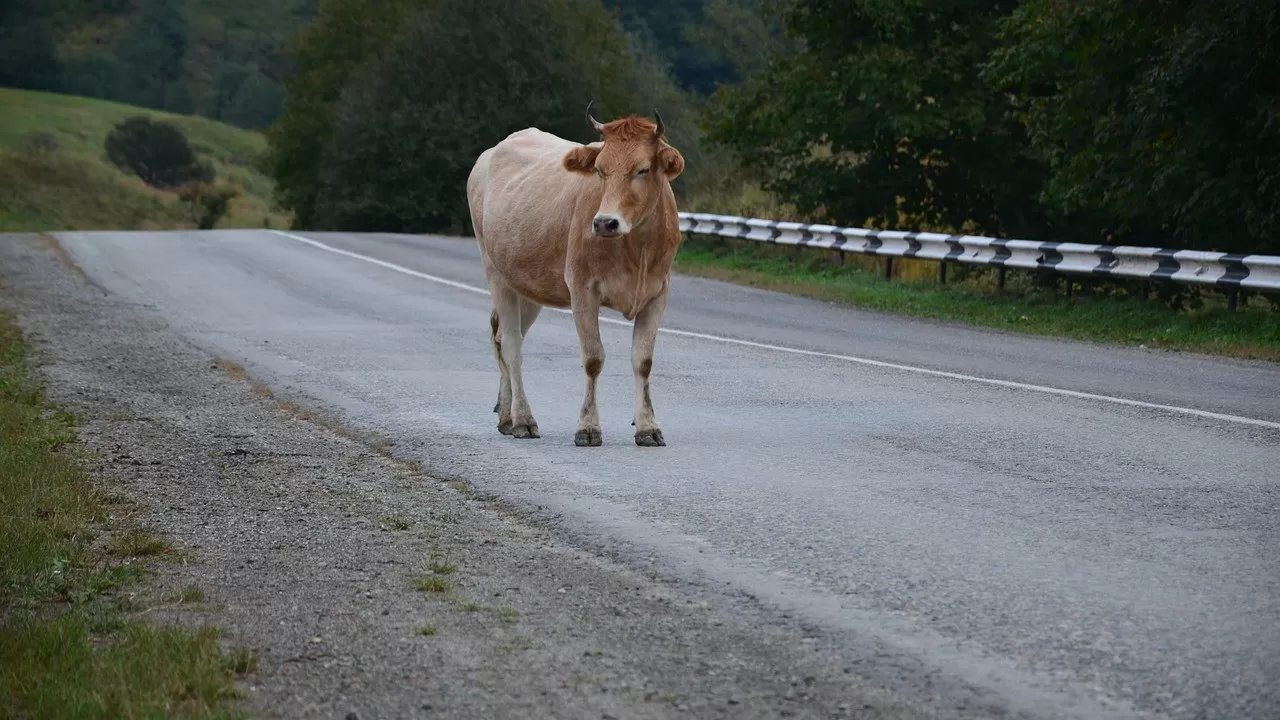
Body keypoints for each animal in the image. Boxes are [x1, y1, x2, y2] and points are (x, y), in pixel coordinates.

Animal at [468, 103, 686, 445]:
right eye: (600, 169)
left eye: (642, 169)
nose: (605, 222)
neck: (636, 248)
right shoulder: (583, 289)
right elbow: (593, 359)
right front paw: (588, 427)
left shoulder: (658, 293)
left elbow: (643, 361)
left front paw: (648, 427)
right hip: (496, 273)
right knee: (512, 344)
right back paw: (523, 420)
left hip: (528, 284)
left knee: (505, 337)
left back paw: (506, 415)